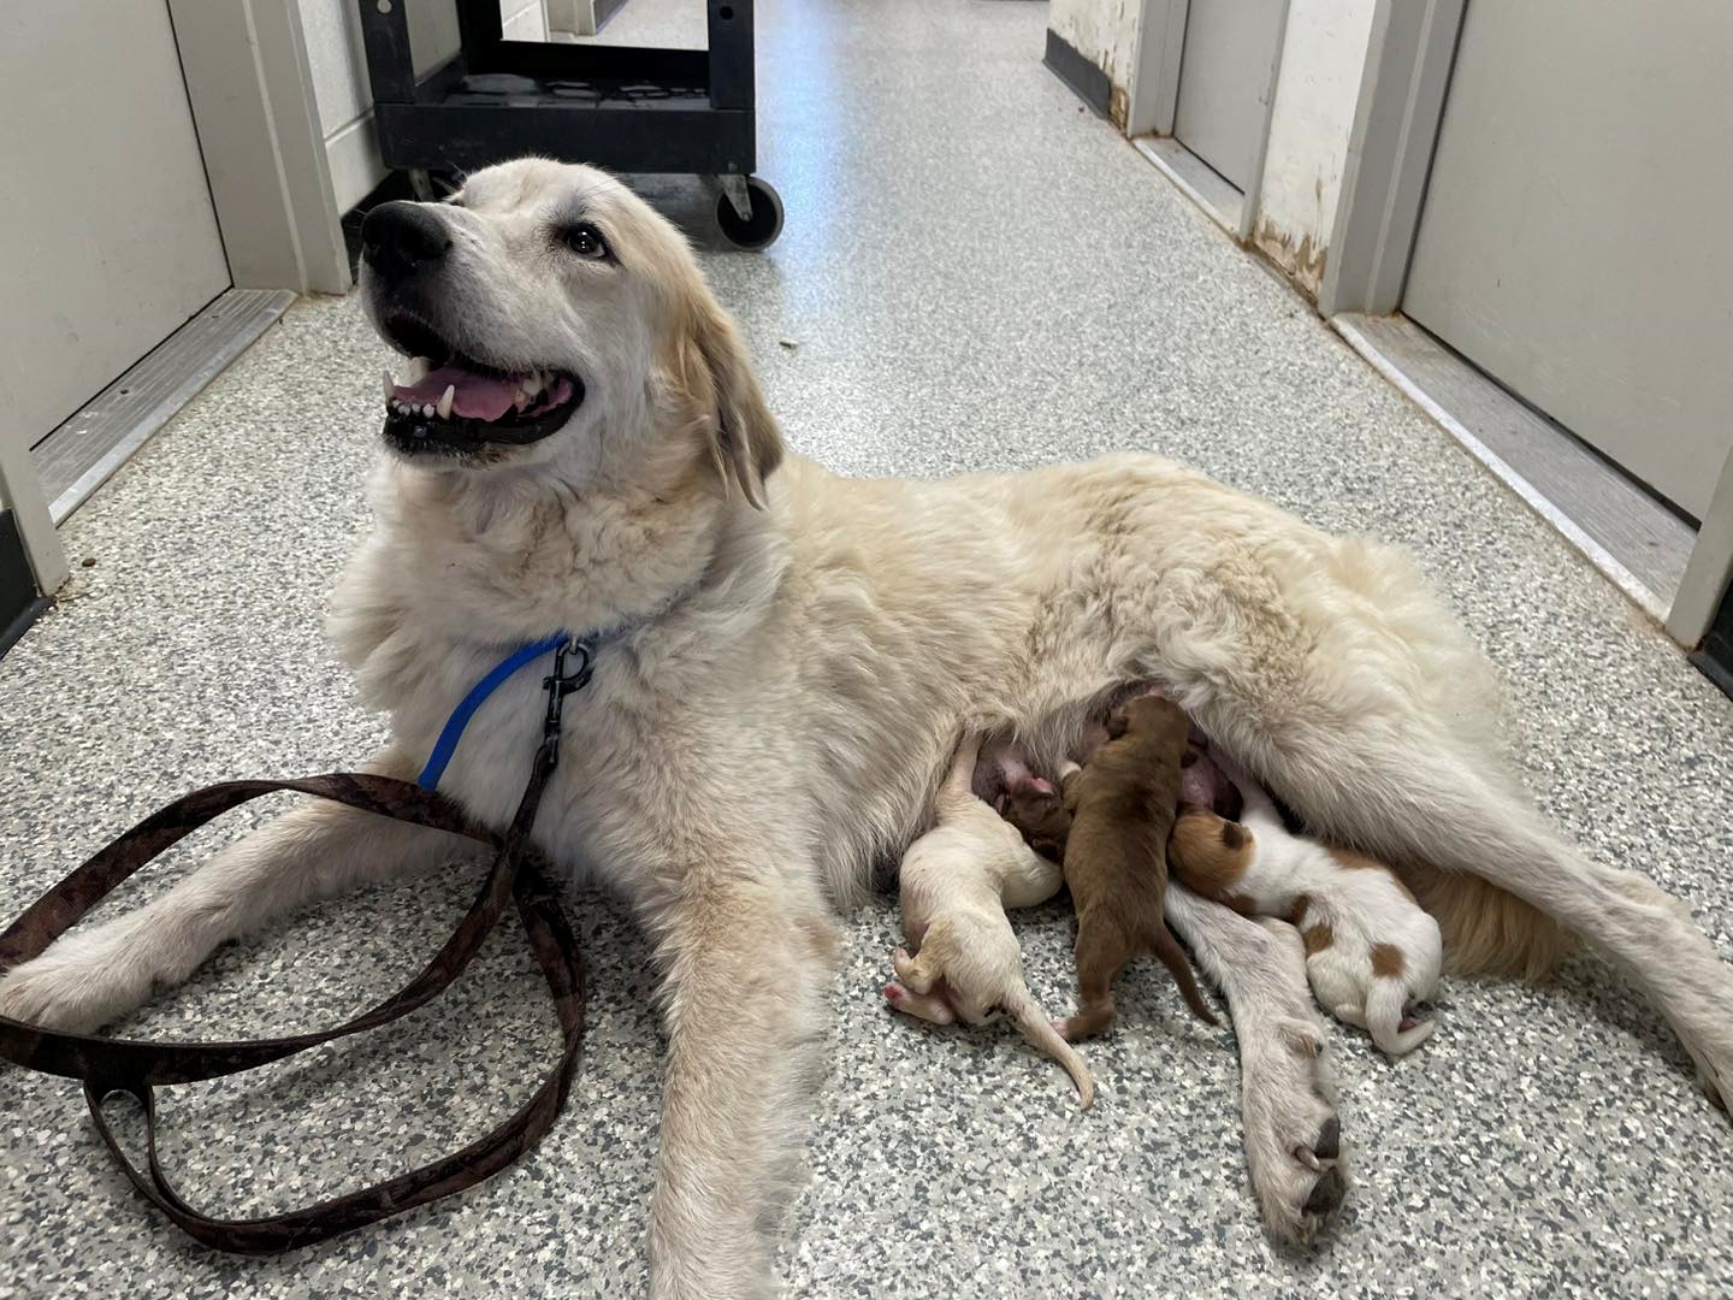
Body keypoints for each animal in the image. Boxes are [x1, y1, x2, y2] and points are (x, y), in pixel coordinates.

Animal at [887, 738, 1088, 1102]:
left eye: (1043, 795)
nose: (1029, 765)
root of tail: (1010, 986)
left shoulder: (959, 798)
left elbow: (961, 766)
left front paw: (973, 733)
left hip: (948, 935)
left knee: (922, 977)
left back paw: (901, 964)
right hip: (962, 996)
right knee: (943, 1011)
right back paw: (899, 996)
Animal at [1164, 762, 1448, 1060]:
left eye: (1193, 814)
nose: (1181, 805)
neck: (1244, 876)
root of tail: (1389, 981)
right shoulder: (1262, 819)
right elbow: (1253, 790)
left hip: (1329, 981)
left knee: (1350, 1011)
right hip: (1430, 933)